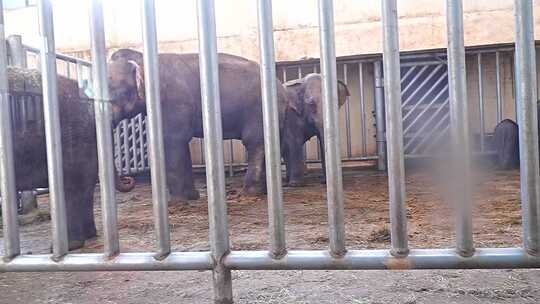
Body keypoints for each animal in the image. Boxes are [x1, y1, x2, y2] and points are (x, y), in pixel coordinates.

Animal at [107, 48, 288, 201]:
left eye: (115, 95)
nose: (128, 179)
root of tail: (281, 87)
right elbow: (181, 144)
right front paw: (192, 197)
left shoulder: (173, 102)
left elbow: (172, 140)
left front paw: (177, 202)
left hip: (258, 110)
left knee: (254, 142)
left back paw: (249, 194)